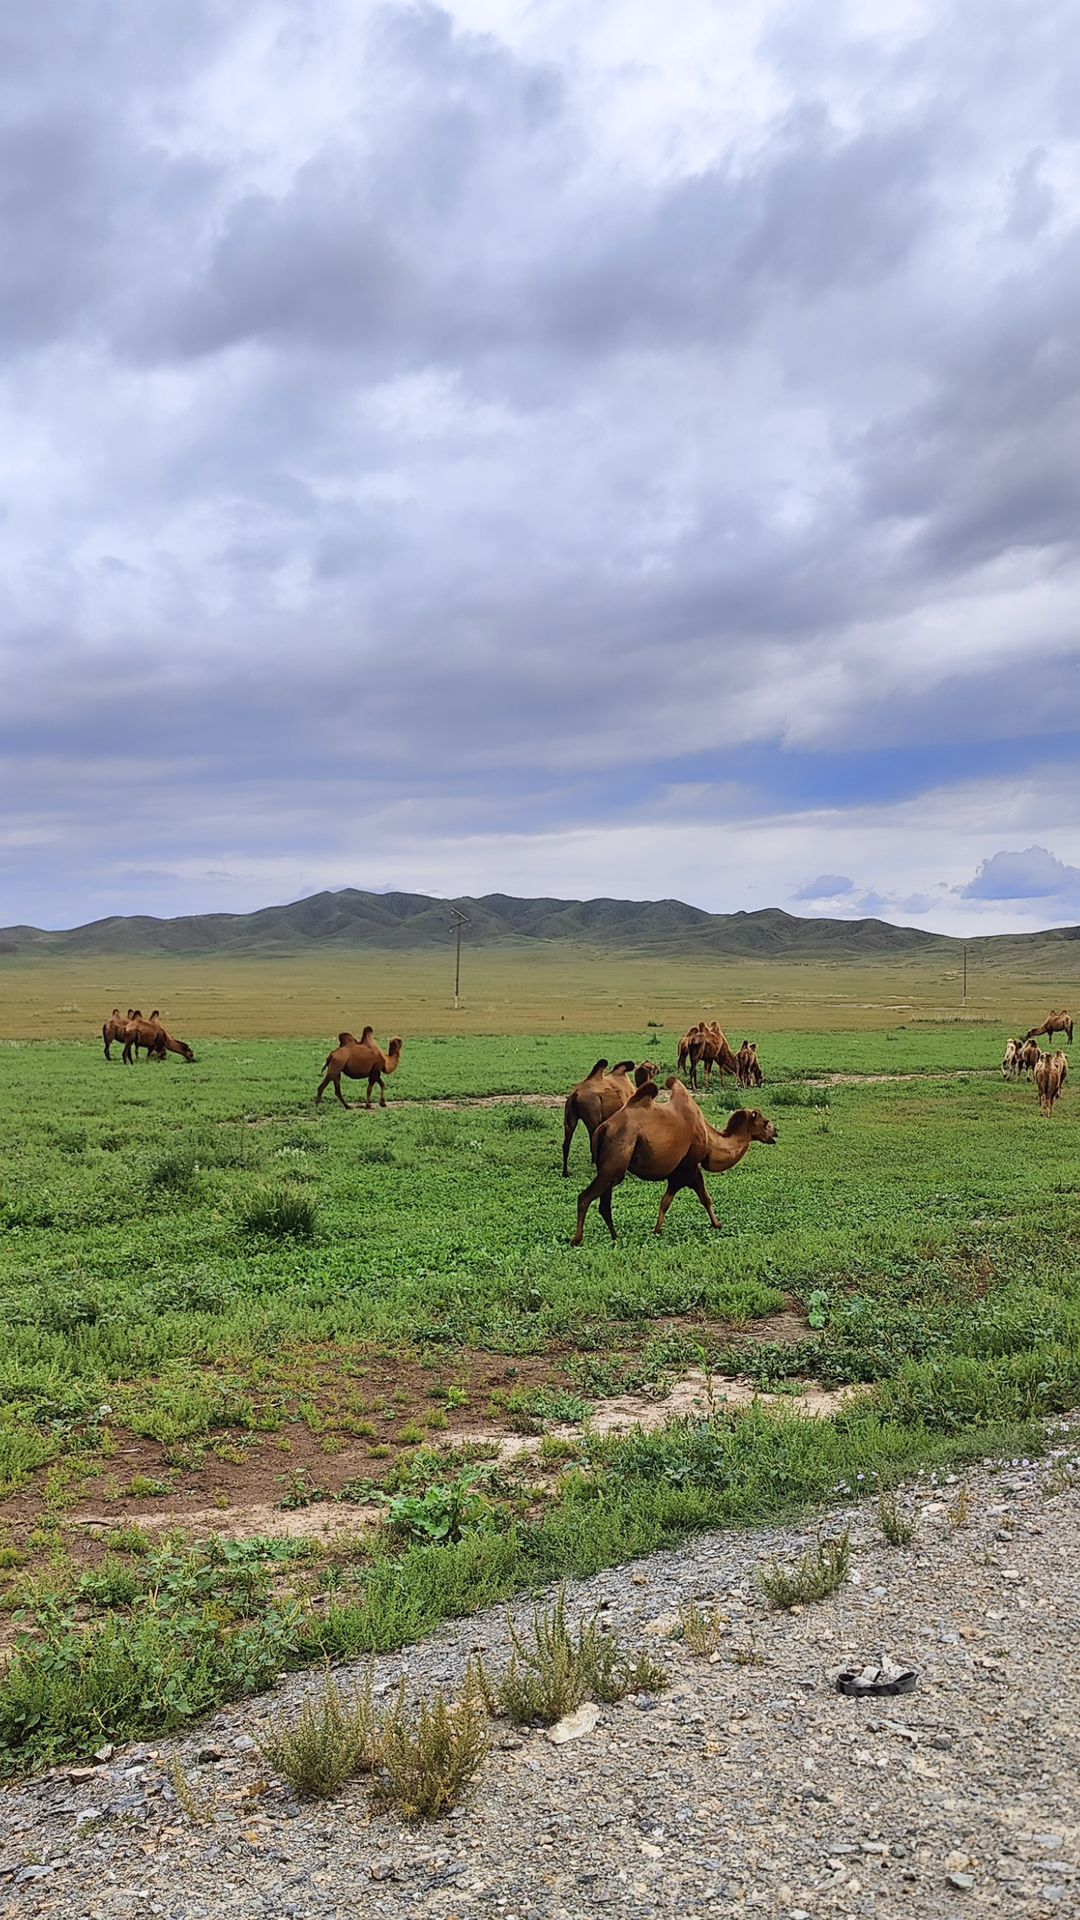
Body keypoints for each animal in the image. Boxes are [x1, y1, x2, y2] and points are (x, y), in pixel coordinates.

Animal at [572, 1082, 772, 1244]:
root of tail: (603, 1128)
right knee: (585, 1197)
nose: (775, 1132)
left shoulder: (684, 1171)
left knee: (604, 1204)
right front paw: (716, 1224)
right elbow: (690, 1199)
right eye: (766, 1122)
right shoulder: (687, 1168)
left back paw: (615, 1236)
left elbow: (684, 1199)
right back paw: (577, 1240)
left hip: (609, 1166)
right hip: (615, 1163)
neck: (709, 1140)